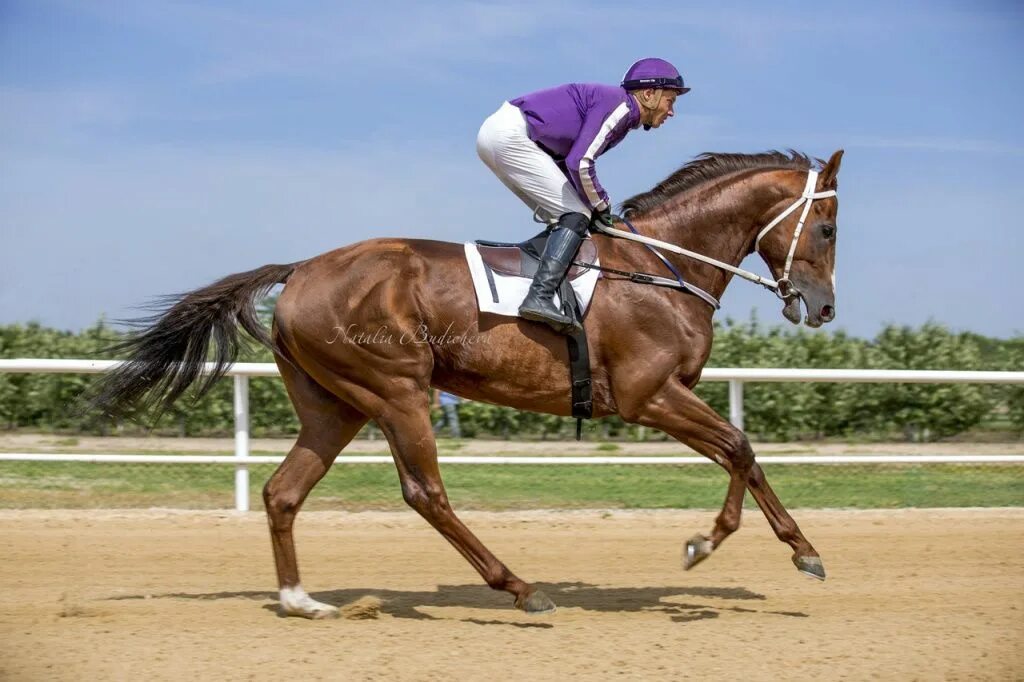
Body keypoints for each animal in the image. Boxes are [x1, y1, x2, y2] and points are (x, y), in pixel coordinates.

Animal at [90, 148, 839, 614]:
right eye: (829, 228)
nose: (824, 307)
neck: (661, 265)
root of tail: (300, 268)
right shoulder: (648, 395)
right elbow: (739, 447)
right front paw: (703, 544)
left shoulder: (668, 396)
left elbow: (743, 453)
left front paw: (805, 551)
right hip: (397, 390)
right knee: (426, 493)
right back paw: (520, 587)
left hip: (335, 405)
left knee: (283, 491)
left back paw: (301, 600)